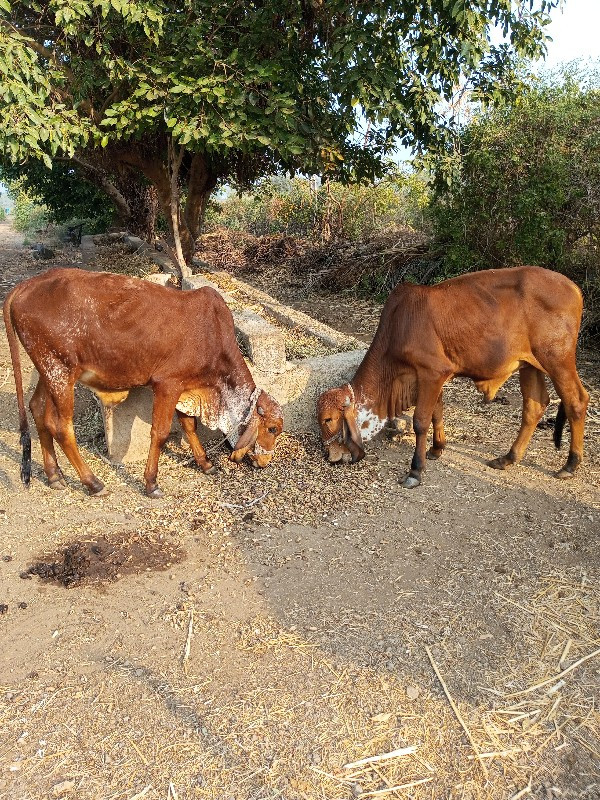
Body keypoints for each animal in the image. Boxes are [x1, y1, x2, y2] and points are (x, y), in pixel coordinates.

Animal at [2, 268, 284, 494]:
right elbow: (160, 433)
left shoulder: (186, 390)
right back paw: (93, 483)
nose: (264, 462)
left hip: (49, 370)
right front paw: (151, 482)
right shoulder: (168, 385)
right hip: (59, 372)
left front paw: (205, 463)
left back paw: (54, 476)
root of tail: (25, 286)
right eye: (272, 429)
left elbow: (189, 426)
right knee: (61, 427)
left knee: (39, 410)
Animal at [316, 268, 588, 488]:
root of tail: (574, 287)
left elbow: (421, 421)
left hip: (557, 360)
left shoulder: (431, 373)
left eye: (328, 419)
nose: (330, 456)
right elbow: (437, 412)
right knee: (534, 406)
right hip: (529, 365)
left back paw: (570, 464)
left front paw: (415, 471)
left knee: (576, 401)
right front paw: (437, 448)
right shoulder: (432, 377)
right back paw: (508, 458)